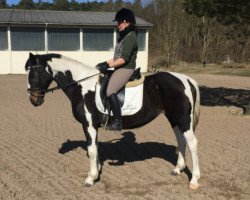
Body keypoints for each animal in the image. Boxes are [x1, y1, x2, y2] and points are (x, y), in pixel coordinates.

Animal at [24, 52, 201, 190]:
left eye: (33, 74)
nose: (33, 100)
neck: (82, 85)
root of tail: (186, 79)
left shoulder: (88, 125)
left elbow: (92, 150)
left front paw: (90, 178)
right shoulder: (94, 126)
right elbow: (96, 149)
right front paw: (97, 172)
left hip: (183, 119)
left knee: (192, 143)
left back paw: (194, 180)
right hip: (174, 118)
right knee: (181, 140)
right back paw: (177, 169)